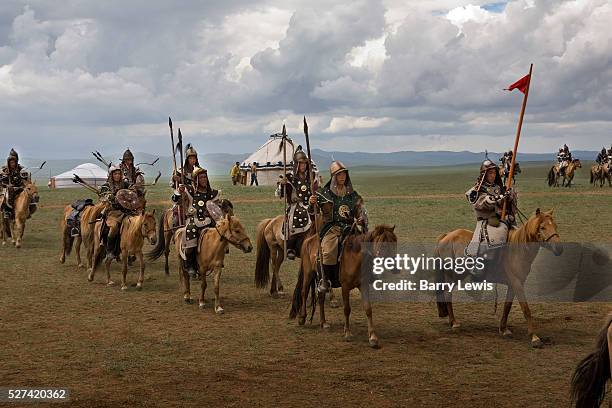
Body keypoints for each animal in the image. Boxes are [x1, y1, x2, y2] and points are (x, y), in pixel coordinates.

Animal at [436, 210, 564, 348]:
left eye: (555, 226)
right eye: (542, 227)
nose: (559, 248)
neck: (518, 250)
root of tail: (447, 235)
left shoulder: (513, 285)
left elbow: (507, 306)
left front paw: (503, 329)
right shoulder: (517, 283)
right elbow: (526, 309)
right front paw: (534, 337)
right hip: (452, 275)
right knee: (447, 294)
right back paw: (454, 323)